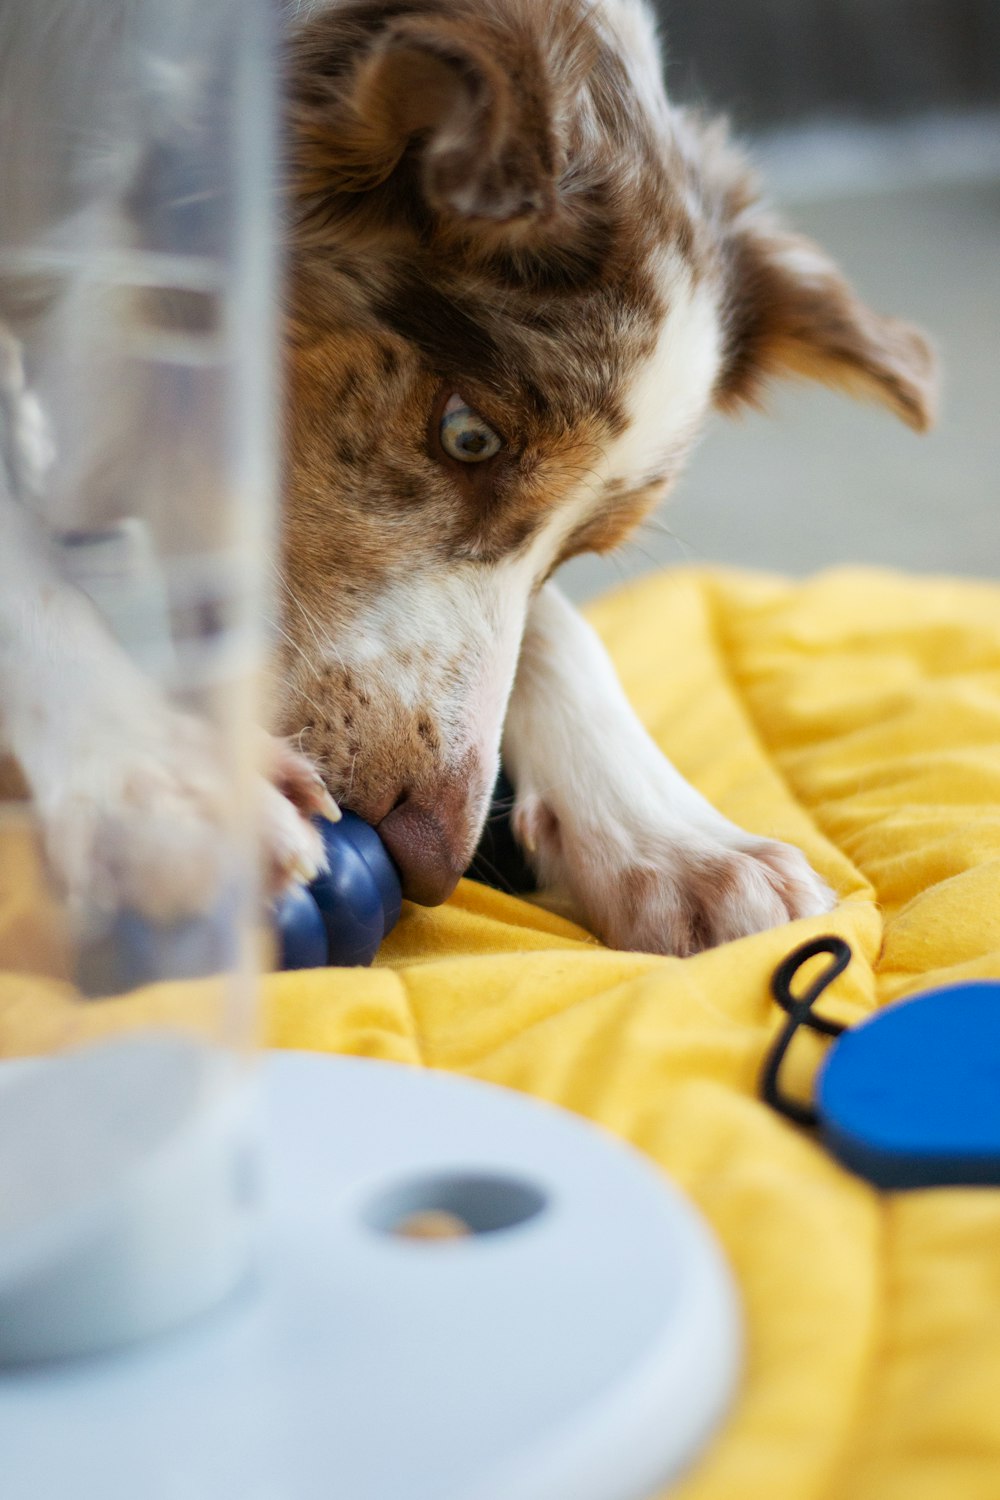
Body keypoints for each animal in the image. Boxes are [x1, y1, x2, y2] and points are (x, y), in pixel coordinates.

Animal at [0, 0, 941, 954]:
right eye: (468, 435)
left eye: (583, 550)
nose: (430, 860)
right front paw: (159, 778)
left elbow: (555, 630)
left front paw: (677, 841)